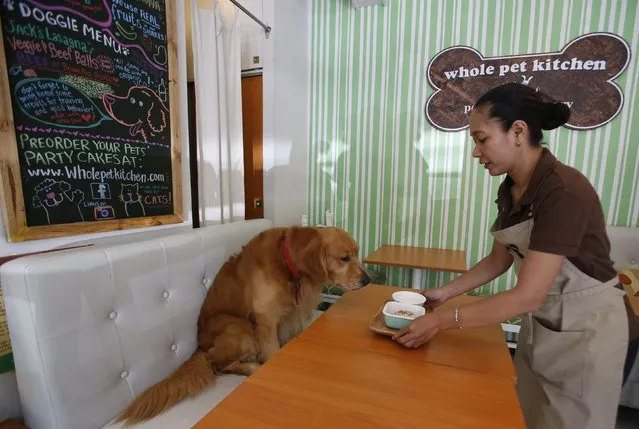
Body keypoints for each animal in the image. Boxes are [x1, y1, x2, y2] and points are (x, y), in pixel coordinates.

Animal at [115, 226, 370, 422]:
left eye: (357, 254)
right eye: (344, 258)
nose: (368, 280)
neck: (288, 265)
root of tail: (199, 345)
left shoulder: (291, 317)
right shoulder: (267, 322)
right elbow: (272, 351)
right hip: (240, 327)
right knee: (216, 364)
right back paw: (252, 368)